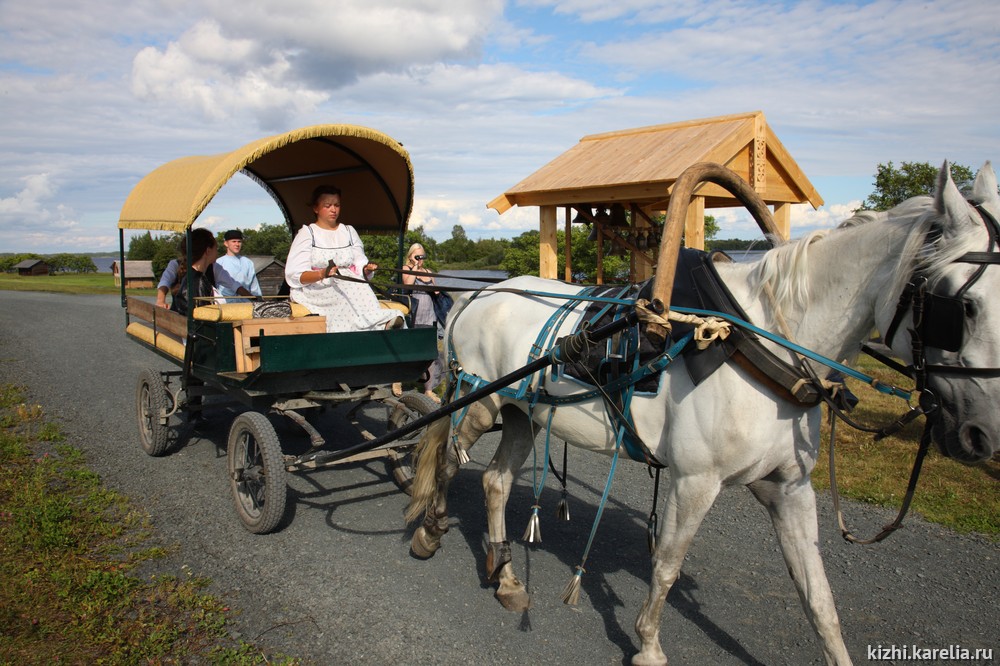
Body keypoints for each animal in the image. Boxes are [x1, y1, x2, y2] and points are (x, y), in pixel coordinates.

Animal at [404, 161, 1000, 664]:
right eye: (960, 306)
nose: (983, 435)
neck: (761, 342)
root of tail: (481, 295)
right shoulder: (696, 480)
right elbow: (668, 564)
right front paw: (647, 646)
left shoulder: (788, 485)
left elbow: (818, 596)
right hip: (481, 402)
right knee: (452, 461)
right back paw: (430, 532)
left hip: (525, 415)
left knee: (497, 482)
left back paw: (505, 576)